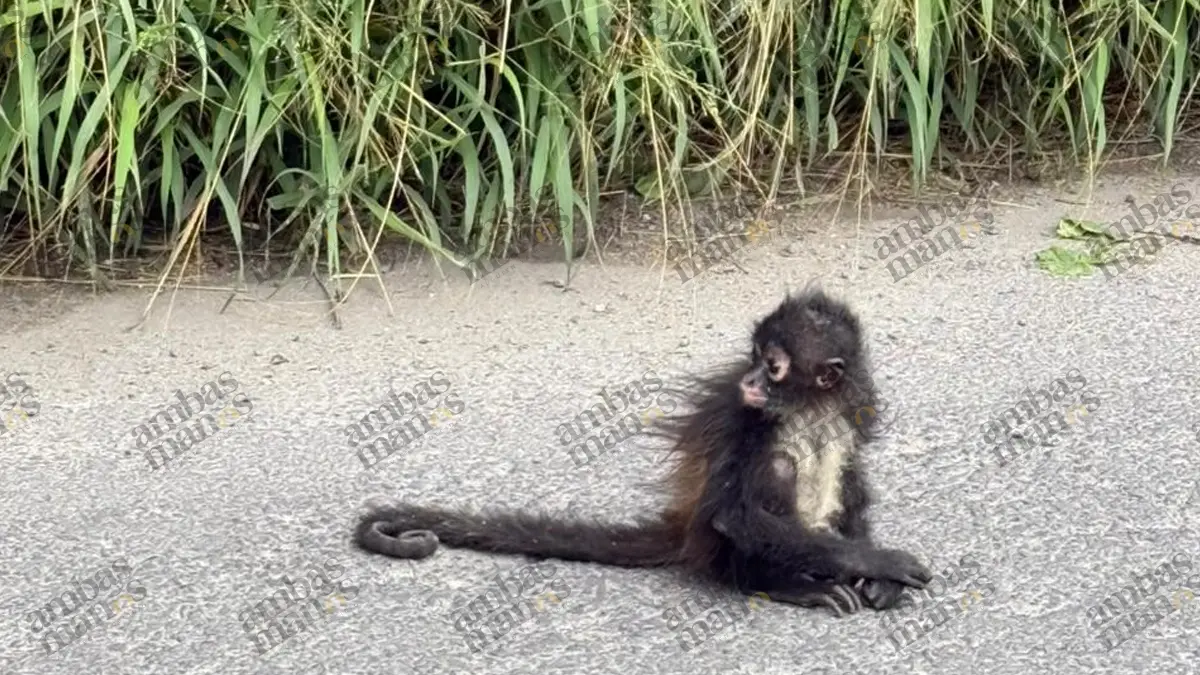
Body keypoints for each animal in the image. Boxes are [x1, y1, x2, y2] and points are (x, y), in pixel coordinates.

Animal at [354, 289, 932, 615]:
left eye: (773, 366)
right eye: (753, 358)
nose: (749, 379)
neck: (809, 407)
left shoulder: (853, 407)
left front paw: (877, 577)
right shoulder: (743, 414)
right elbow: (736, 516)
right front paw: (881, 562)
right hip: (719, 547)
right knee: (778, 470)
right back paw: (778, 582)